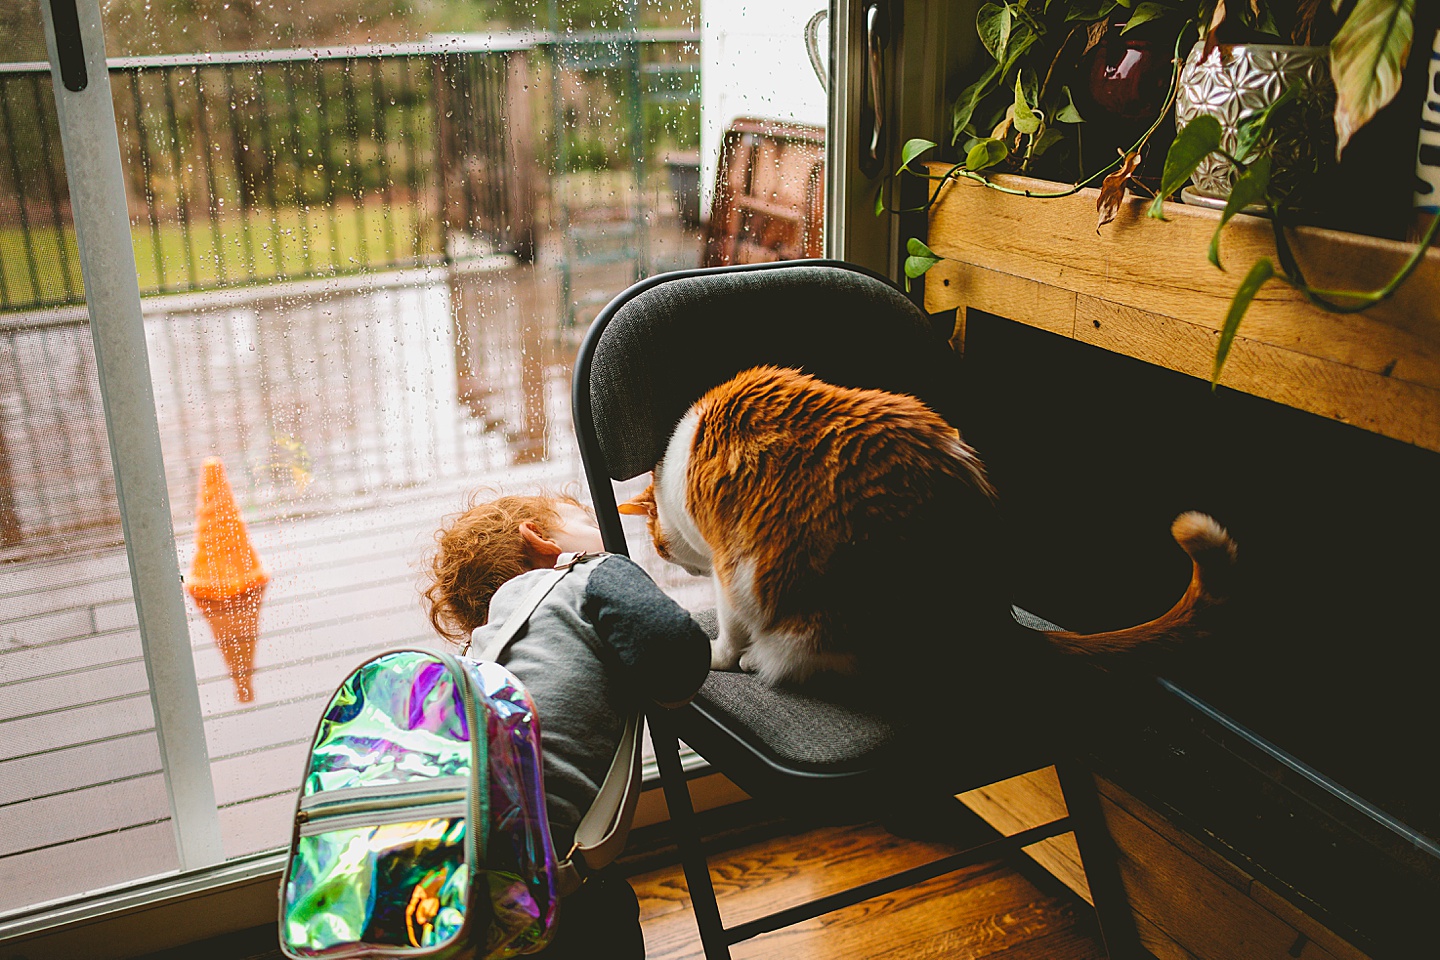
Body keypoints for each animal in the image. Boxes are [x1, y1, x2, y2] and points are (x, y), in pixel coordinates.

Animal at [619, 364, 1238, 687]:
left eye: (659, 548)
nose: (675, 563)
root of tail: (990, 615)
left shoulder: (734, 569)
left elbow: (727, 630)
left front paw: (721, 656)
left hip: (812, 605)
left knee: (811, 657)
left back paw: (761, 660)